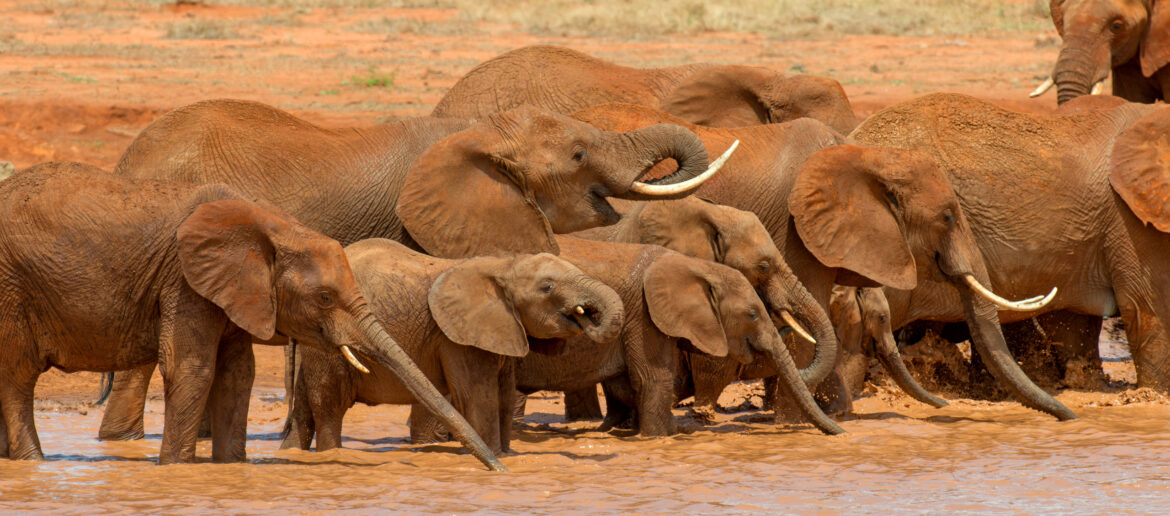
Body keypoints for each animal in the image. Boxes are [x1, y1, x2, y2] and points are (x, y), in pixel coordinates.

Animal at [0, 162, 501, 469]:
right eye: (324, 298)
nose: (498, 468)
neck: (272, 225)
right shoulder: (184, 280)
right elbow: (193, 368)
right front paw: (176, 470)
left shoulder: (234, 292)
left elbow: (238, 373)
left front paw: (231, 469)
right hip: (12, 285)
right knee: (18, 376)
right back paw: (32, 463)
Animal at [280, 239, 623, 455]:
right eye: (548, 287)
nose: (587, 314)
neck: (502, 264)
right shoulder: (456, 338)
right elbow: (479, 397)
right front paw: (497, 457)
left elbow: (502, 395)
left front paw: (507, 455)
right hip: (330, 342)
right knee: (330, 408)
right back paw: (332, 454)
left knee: (304, 413)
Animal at [571, 102, 1073, 421]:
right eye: (948, 217)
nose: (1067, 417)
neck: (865, 156)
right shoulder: (796, 229)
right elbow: (810, 321)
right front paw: (795, 427)